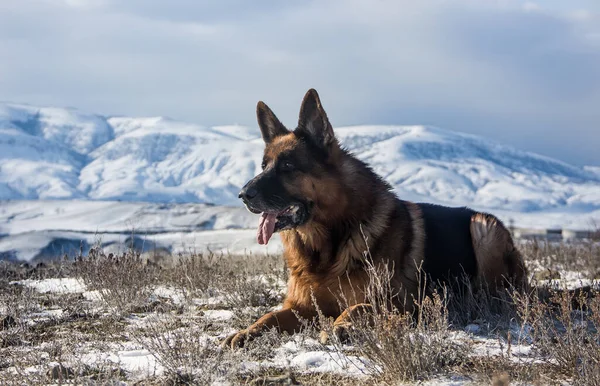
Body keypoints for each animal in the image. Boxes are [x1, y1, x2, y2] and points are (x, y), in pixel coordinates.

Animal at [224, 89, 524, 348]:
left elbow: (360, 307)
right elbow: (269, 316)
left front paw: (342, 326)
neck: (329, 244)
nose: (243, 194)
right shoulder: (299, 307)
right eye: (264, 166)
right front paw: (246, 332)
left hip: (483, 227)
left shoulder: (402, 303)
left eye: (287, 166)